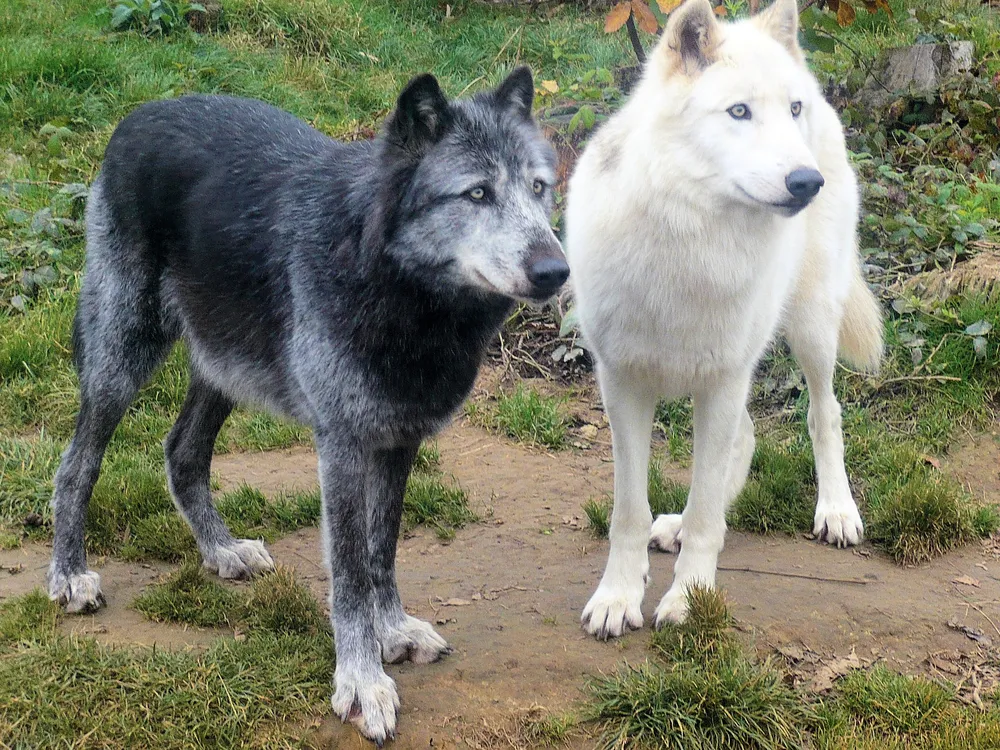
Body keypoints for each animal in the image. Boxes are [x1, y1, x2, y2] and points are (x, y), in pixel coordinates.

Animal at [47, 69, 568, 748]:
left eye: (539, 189)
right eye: (477, 192)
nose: (557, 270)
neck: (399, 292)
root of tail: (141, 113)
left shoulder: (398, 442)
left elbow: (381, 551)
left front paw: (392, 631)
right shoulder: (341, 447)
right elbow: (348, 574)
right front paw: (362, 681)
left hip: (224, 367)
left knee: (181, 452)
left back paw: (220, 551)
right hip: (121, 361)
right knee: (75, 465)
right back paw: (68, 575)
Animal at [564, 0, 884, 636]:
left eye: (790, 110)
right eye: (739, 111)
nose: (807, 182)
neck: (690, 242)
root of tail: (822, 90)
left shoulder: (723, 380)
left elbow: (710, 511)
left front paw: (689, 599)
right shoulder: (623, 386)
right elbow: (627, 513)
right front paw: (618, 597)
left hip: (809, 330)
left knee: (825, 413)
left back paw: (837, 511)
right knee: (750, 436)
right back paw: (675, 527)